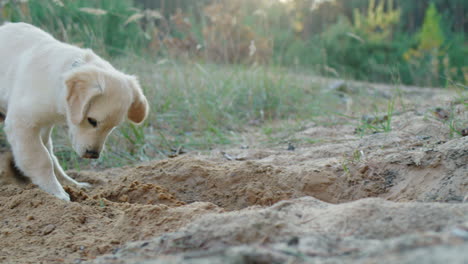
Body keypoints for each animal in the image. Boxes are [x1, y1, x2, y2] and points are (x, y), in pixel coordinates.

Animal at [0, 23, 148, 200]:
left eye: (112, 128)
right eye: (92, 121)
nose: (92, 154)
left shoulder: (43, 127)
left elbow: (51, 157)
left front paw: (71, 184)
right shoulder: (22, 124)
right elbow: (42, 158)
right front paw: (56, 192)